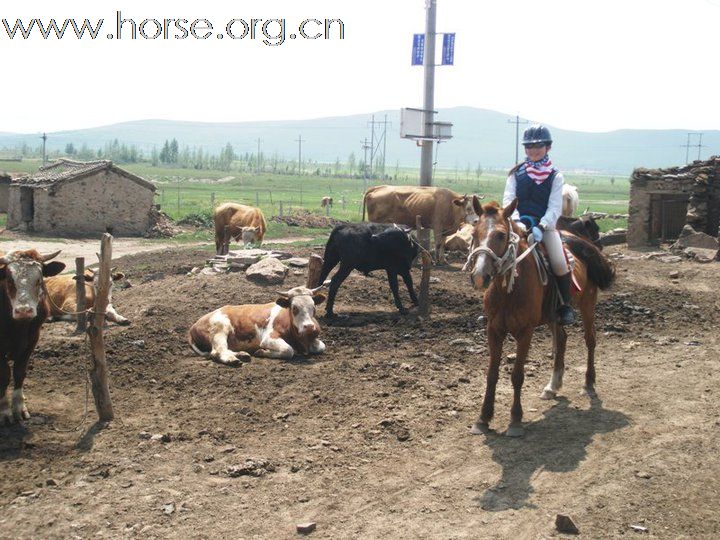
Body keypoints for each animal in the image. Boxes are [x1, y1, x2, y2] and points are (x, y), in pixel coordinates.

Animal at [0, 248, 65, 422]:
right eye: (9, 280)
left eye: (39, 280)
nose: (24, 311)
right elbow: (4, 375)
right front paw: (4, 411)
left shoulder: (32, 340)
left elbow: (19, 372)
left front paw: (19, 408)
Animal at [190, 282, 328, 368]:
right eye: (294, 308)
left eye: (313, 307)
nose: (309, 326)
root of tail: (194, 325)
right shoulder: (268, 338)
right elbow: (288, 350)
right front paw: (261, 351)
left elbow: (322, 346)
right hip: (220, 328)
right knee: (217, 351)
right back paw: (233, 359)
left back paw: (242, 354)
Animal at [470, 196, 616, 436]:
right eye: (474, 233)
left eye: (500, 235)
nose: (480, 275)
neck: (509, 289)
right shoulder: (494, 330)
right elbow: (491, 374)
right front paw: (483, 418)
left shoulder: (525, 332)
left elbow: (517, 375)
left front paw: (515, 420)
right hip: (553, 317)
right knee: (562, 340)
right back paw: (552, 386)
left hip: (587, 306)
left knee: (590, 341)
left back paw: (588, 382)